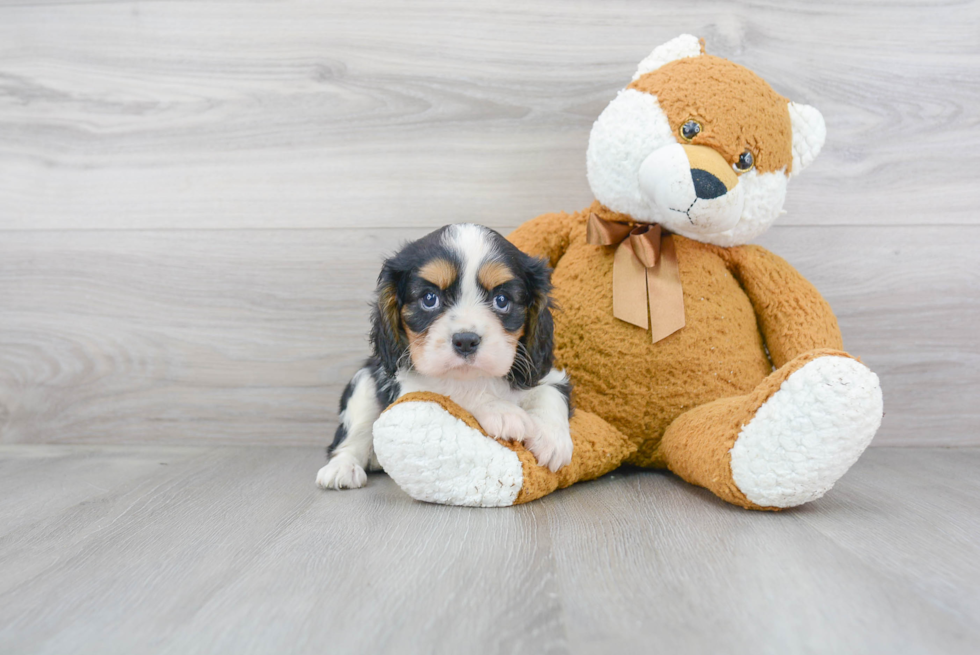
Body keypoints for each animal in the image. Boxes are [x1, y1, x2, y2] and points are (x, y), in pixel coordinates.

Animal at [314, 223, 576, 490]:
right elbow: (453, 391)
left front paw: (551, 438)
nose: (466, 341)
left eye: (502, 300)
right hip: (363, 385)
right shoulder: (411, 387)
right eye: (430, 299)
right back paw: (342, 468)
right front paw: (502, 411)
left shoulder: (542, 370)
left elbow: (549, 392)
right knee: (351, 437)